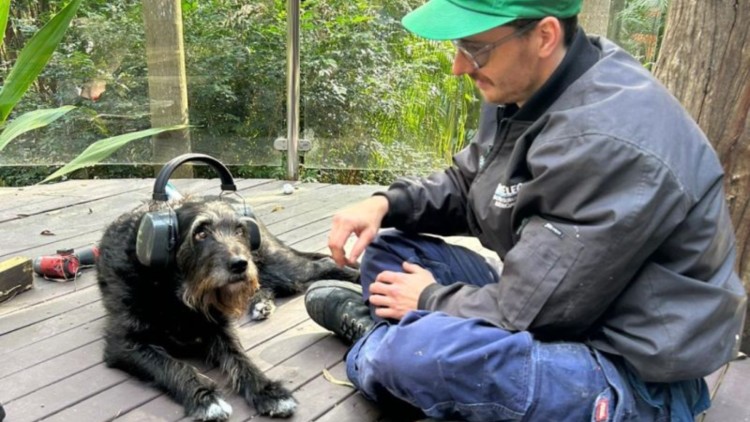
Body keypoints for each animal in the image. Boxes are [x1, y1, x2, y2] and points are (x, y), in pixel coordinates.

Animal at [95, 196, 360, 420]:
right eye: (200, 232)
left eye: (240, 231)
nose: (240, 264)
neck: (175, 290)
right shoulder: (126, 345)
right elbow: (174, 366)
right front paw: (206, 399)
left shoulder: (219, 329)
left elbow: (240, 358)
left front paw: (269, 391)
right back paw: (261, 303)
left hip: (278, 265)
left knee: (323, 264)